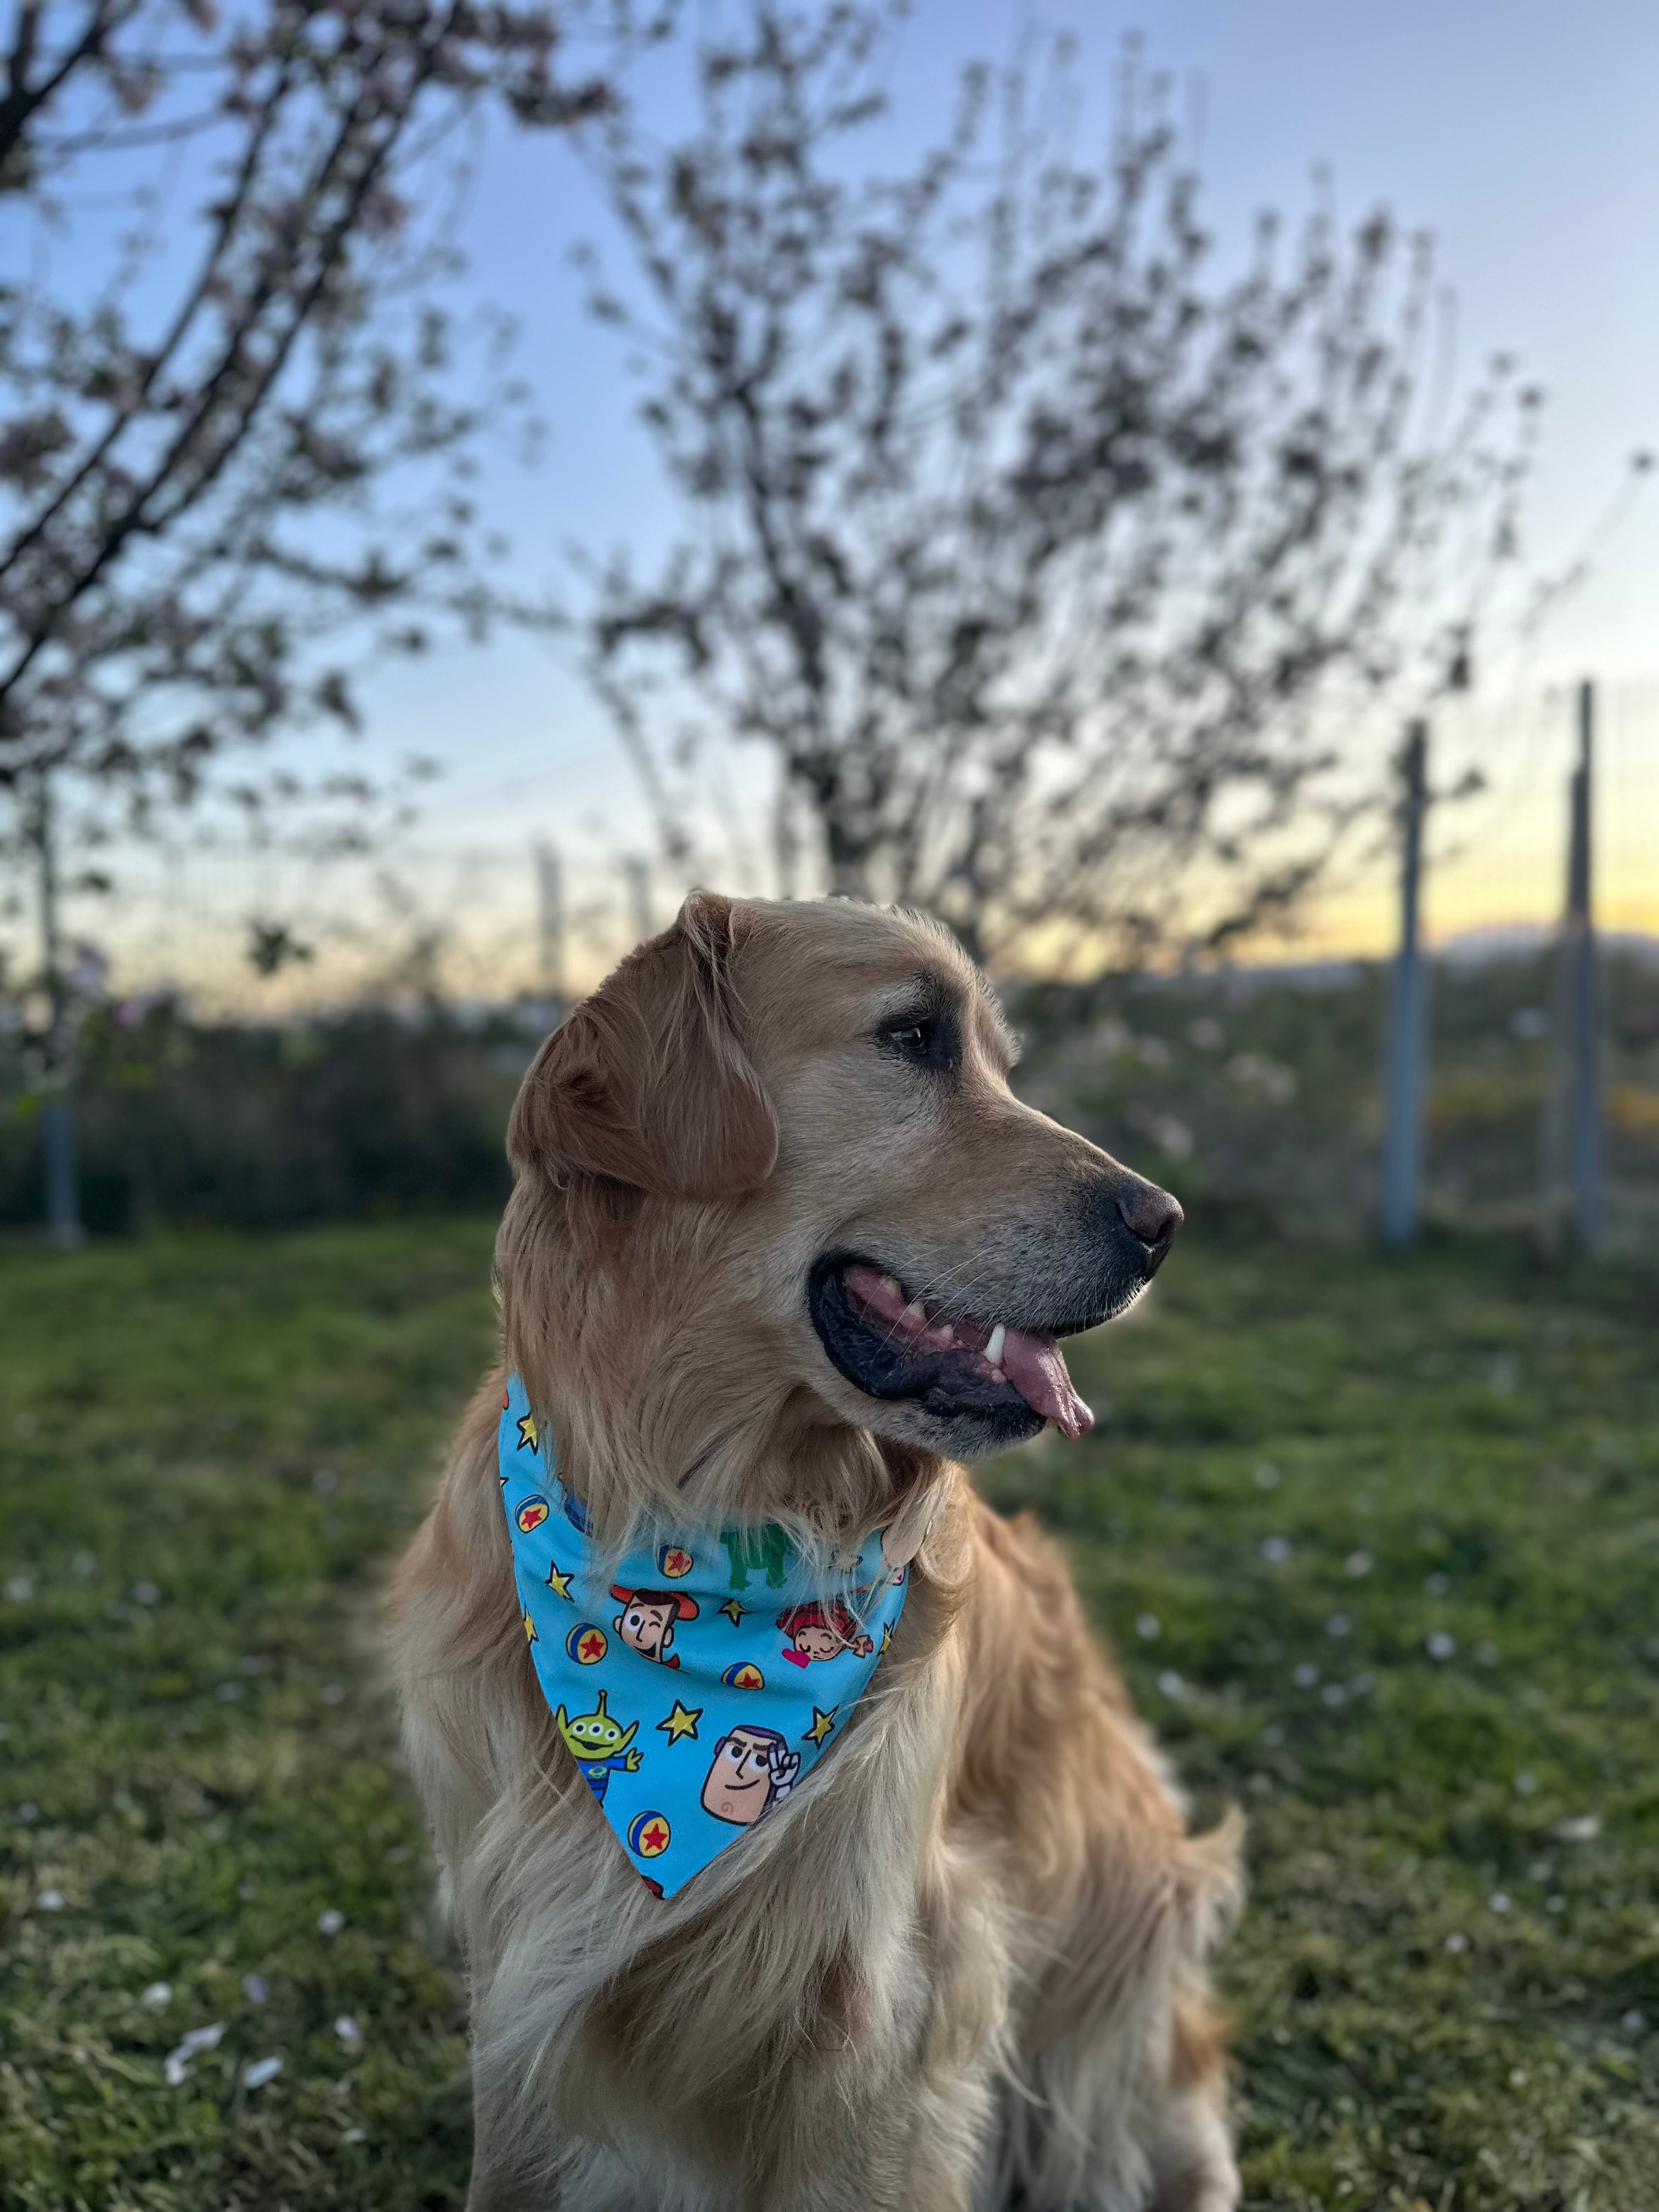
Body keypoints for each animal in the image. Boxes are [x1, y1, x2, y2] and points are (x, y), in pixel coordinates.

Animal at [393, 889, 1248, 2203]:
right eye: (911, 1037)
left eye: (998, 1062)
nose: (1165, 1224)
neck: (707, 1531)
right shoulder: (518, 1949)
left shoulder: (881, 2007)